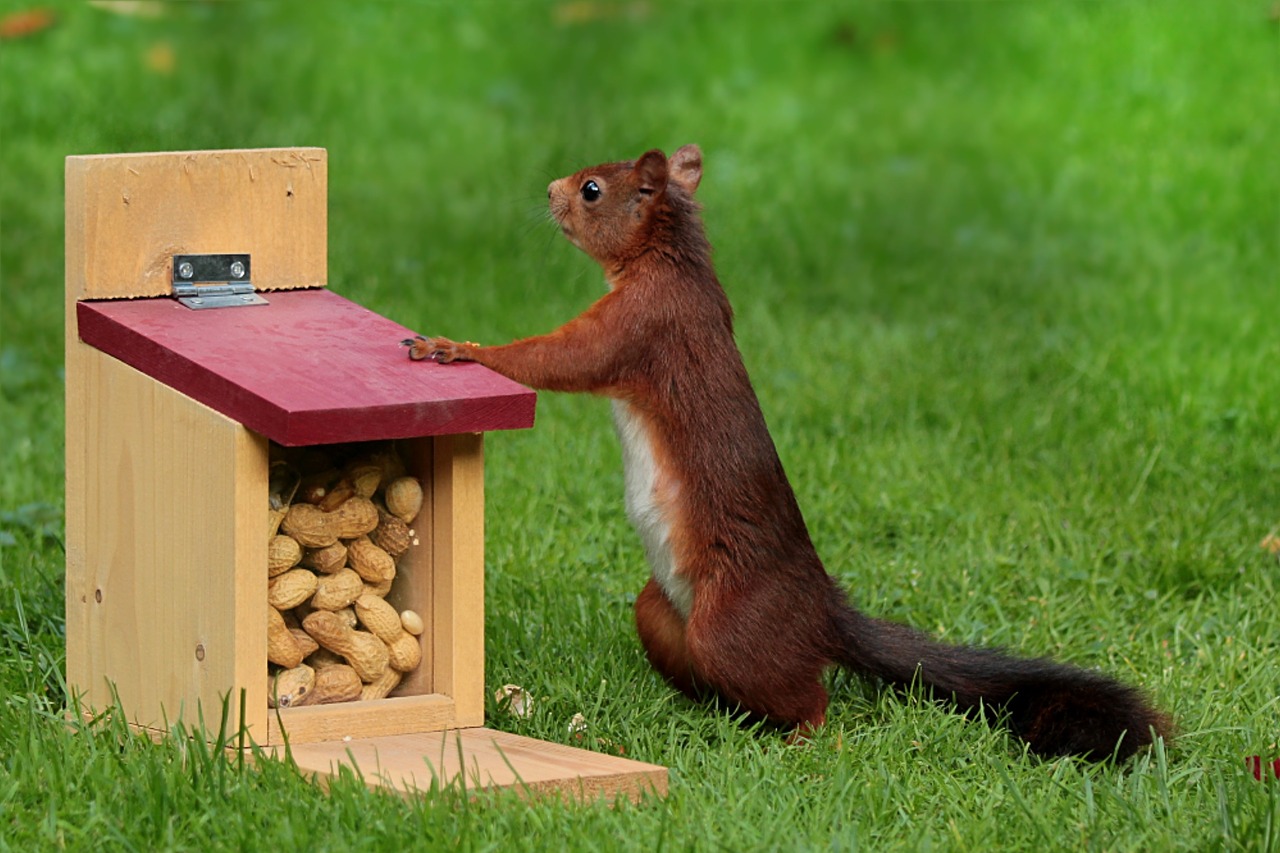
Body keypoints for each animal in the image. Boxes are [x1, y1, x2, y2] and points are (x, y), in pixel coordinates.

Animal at [401, 144, 1172, 758]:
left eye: (593, 190)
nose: (550, 190)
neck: (671, 261)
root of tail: (822, 613)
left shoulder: (642, 325)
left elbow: (554, 358)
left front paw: (457, 347)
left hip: (734, 626)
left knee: (808, 695)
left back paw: (800, 735)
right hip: (660, 610)